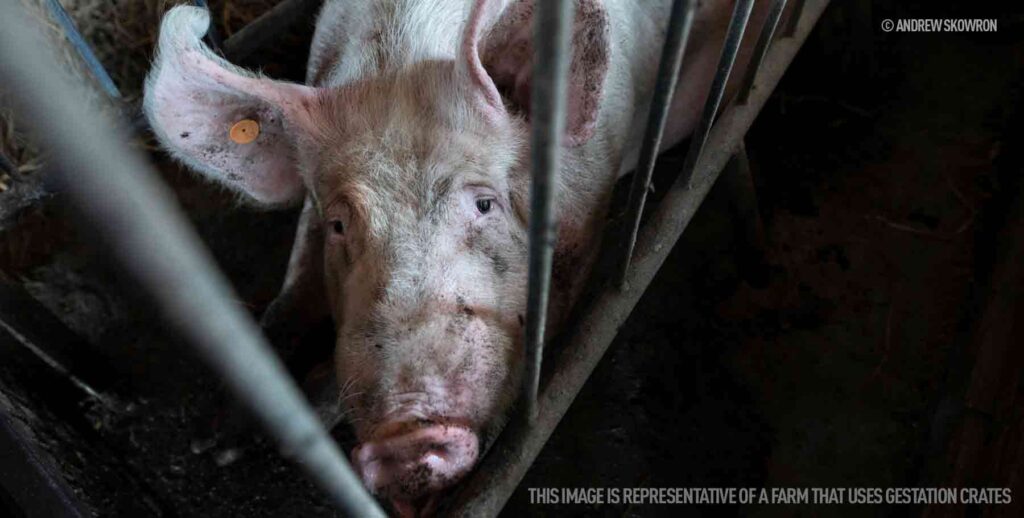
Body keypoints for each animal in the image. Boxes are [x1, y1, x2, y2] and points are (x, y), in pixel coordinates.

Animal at [144, 0, 778, 513]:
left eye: (484, 203)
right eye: (340, 224)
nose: (406, 441)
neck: (398, 57)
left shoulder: (586, 217)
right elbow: (294, 291)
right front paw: (213, 442)